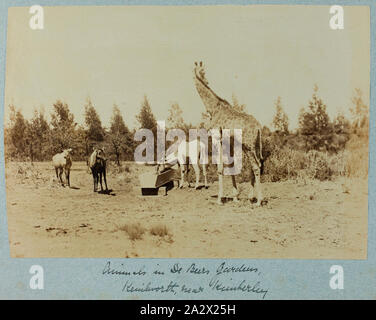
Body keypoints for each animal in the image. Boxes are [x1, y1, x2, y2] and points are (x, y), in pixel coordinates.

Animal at [192, 60, 262, 205]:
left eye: (204, 71)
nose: (206, 81)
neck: (213, 108)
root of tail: (259, 127)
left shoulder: (216, 138)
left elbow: (220, 168)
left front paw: (220, 199)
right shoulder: (228, 142)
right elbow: (231, 165)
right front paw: (235, 197)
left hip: (249, 146)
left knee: (256, 166)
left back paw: (259, 200)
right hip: (252, 146)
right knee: (254, 166)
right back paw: (251, 197)